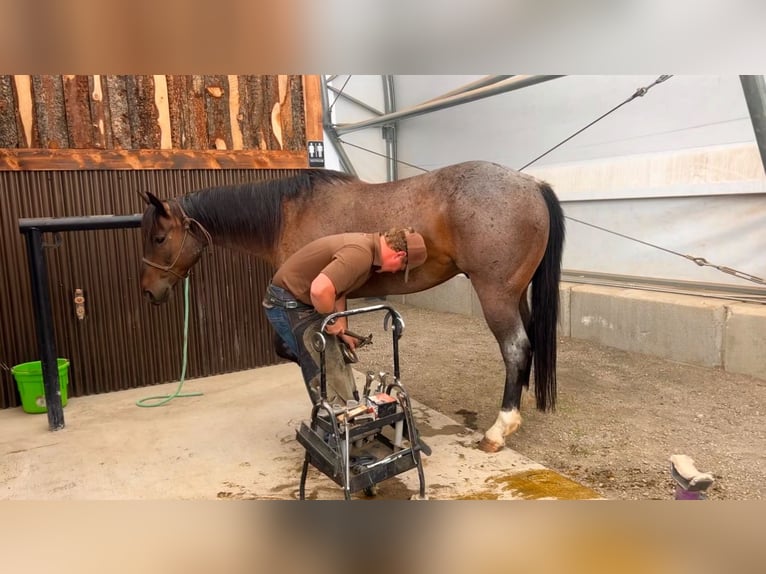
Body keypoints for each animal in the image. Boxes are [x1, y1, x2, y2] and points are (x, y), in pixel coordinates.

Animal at [139, 160, 565, 452]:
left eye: (159, 238)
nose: (148, 291)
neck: (288, 212)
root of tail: (532, 184)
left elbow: (299, 351)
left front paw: (327, 399)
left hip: (495, 294)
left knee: (515, 348)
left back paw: (499, 427)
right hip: (515, 294)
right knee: (526, 345)